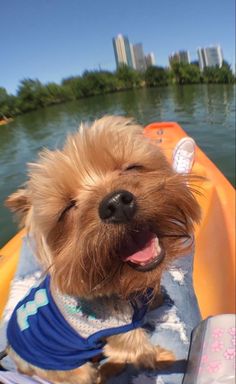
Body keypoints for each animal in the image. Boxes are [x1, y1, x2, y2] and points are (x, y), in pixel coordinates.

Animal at [6, 115, 199, 382]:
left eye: (131, 167)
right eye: (67, 209)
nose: (116, 204)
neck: (118, 283)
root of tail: (17, 359)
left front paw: (156, 298)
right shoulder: (116, 332)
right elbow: (139, 350)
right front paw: (161, 357)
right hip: (70, 370)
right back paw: (109, 369)